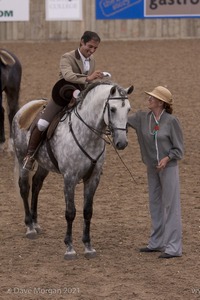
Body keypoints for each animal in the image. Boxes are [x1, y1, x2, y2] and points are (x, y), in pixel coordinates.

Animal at [12, 81, 134, 258]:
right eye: (112, 109)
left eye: (129, 109)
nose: (122, 143)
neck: (88, 135)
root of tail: (25, 108)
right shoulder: (69, 179)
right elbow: (70, 212)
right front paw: (69, 247)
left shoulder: (93, 178)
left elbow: (87, 211)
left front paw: (88, 246)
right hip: (22, 159)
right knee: (24, 187)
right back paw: (29, 227)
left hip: (44, 165)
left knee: (36, 185)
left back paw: (35, 223)